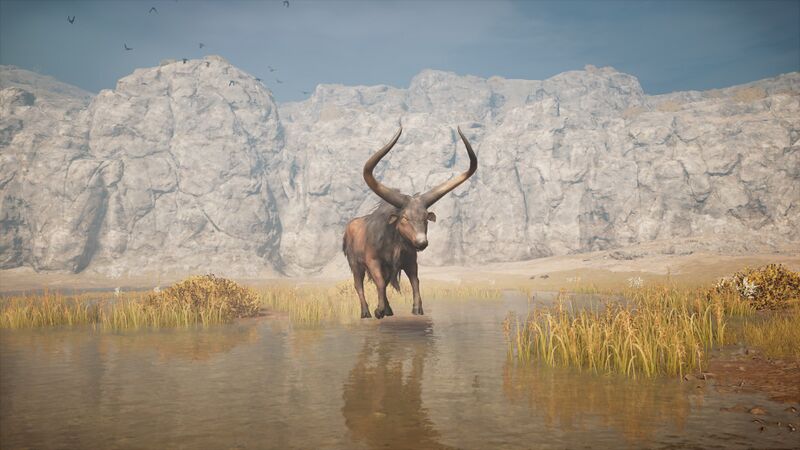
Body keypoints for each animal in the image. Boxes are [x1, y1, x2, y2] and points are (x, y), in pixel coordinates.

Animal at [342, 127, 478, 319]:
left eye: (425, 217)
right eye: (405, 218)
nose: (422, 242)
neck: (394, 242)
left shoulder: (410, 261)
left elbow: (415, 281)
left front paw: (417, 309)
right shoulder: (373, 261)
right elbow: (379, 283)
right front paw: (378, 310)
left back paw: (389, 310)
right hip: (355, 264)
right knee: (359, 285)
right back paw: (366, 312)